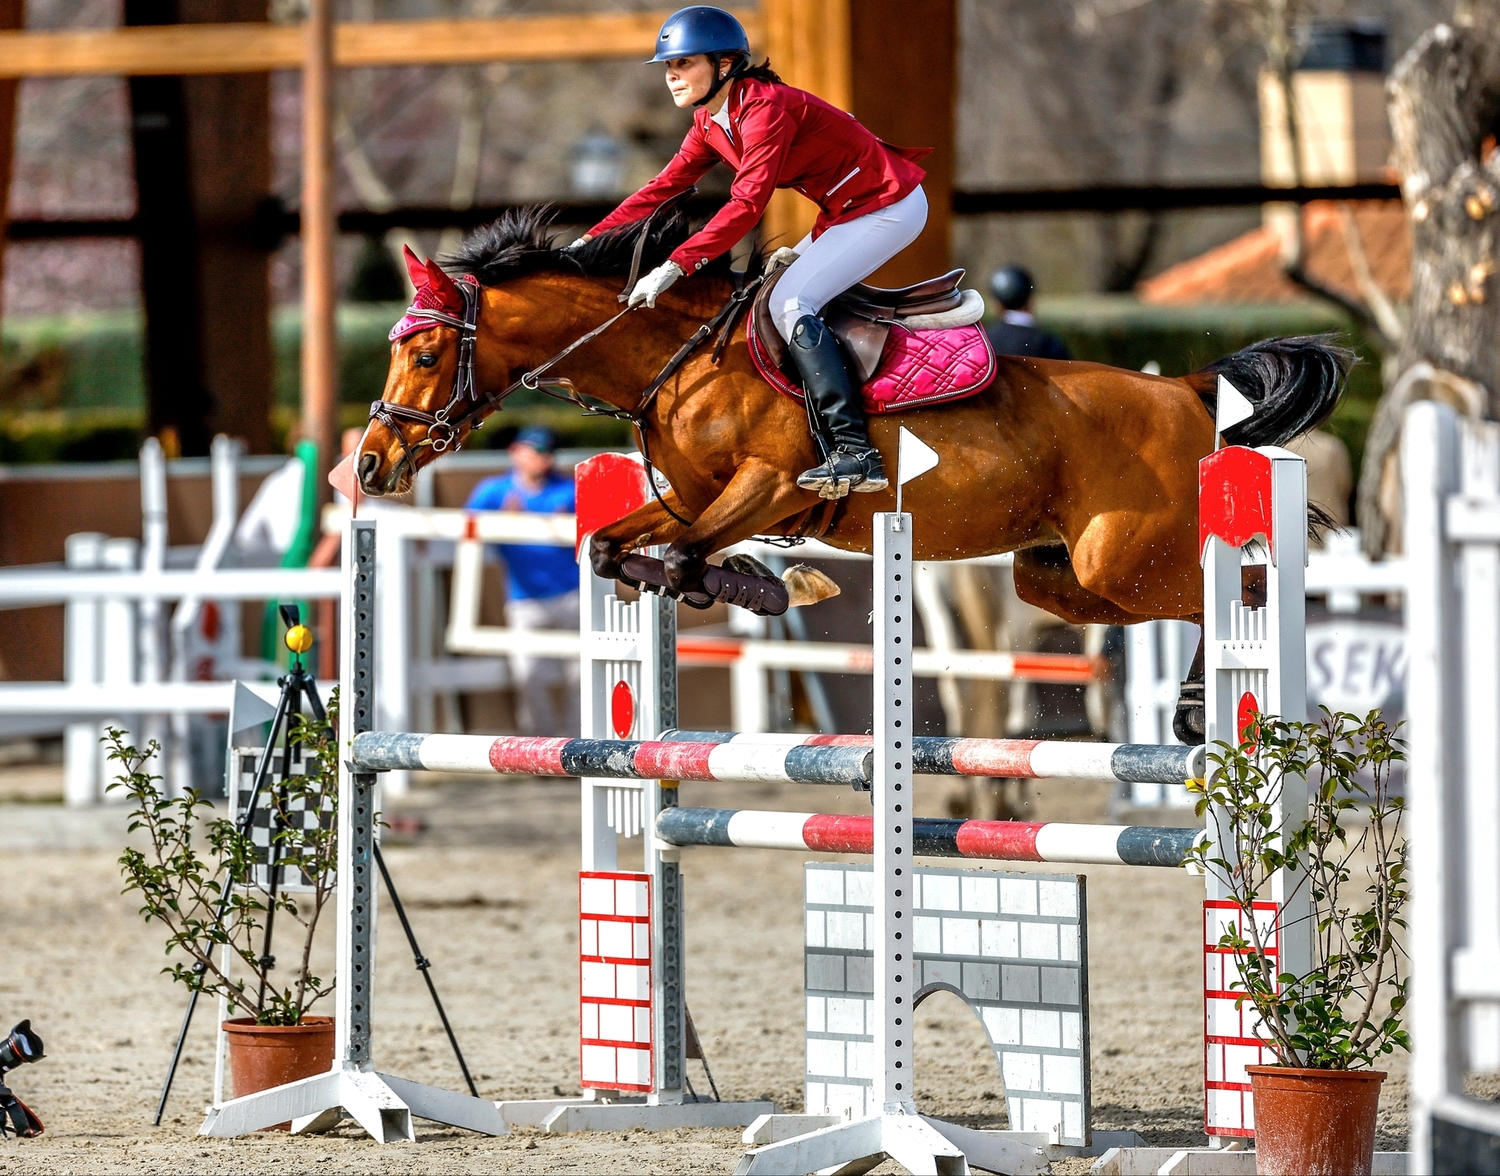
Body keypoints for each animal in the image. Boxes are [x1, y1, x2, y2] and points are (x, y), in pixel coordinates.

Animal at [357, 207, 1349, 739]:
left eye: (427, 352)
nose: (369, 465)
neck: (678, 358)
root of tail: (1183, 389)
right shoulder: (691, 500)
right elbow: (619, 549)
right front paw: (760, 585)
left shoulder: (765, 487)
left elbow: (681, 557)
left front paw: (766, 584)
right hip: (1060, 577)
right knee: (1175, 601)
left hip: (1124, 557)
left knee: (1235, 592)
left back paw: (1211, 703)